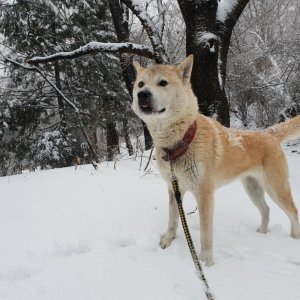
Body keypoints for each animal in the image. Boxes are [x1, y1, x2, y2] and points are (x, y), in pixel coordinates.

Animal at [131, 55, 300, 266]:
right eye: (140, 84)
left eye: (162, 83)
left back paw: (293, 239)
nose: (142, 94)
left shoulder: (205, 195)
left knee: (293, 212)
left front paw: (205, 262)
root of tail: (269, 134)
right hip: (252, 188)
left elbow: (205, 234)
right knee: (266, 210)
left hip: (276, 188)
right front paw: (168, 240)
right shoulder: (173, 188)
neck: (181, 142)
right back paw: (261, 234)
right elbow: (172, 219)